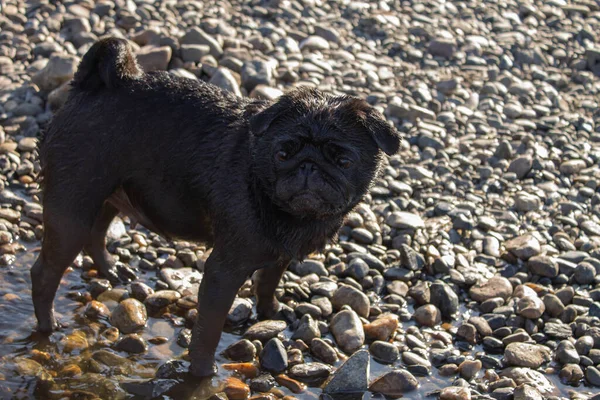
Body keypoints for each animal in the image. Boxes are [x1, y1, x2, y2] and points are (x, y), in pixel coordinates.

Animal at [30, 36, 400, 376]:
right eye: (283, 153)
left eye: (343, 161)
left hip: (106, 195)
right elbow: (208, 329)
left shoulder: (278, 254)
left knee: (97, 233)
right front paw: (203, 373)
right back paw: (48, 327)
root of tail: (94, 86)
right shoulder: (223, 272)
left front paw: (271, 312)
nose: (308, 166)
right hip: (71, 208)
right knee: (46, 272)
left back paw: (109, 269)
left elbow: (267, 283)